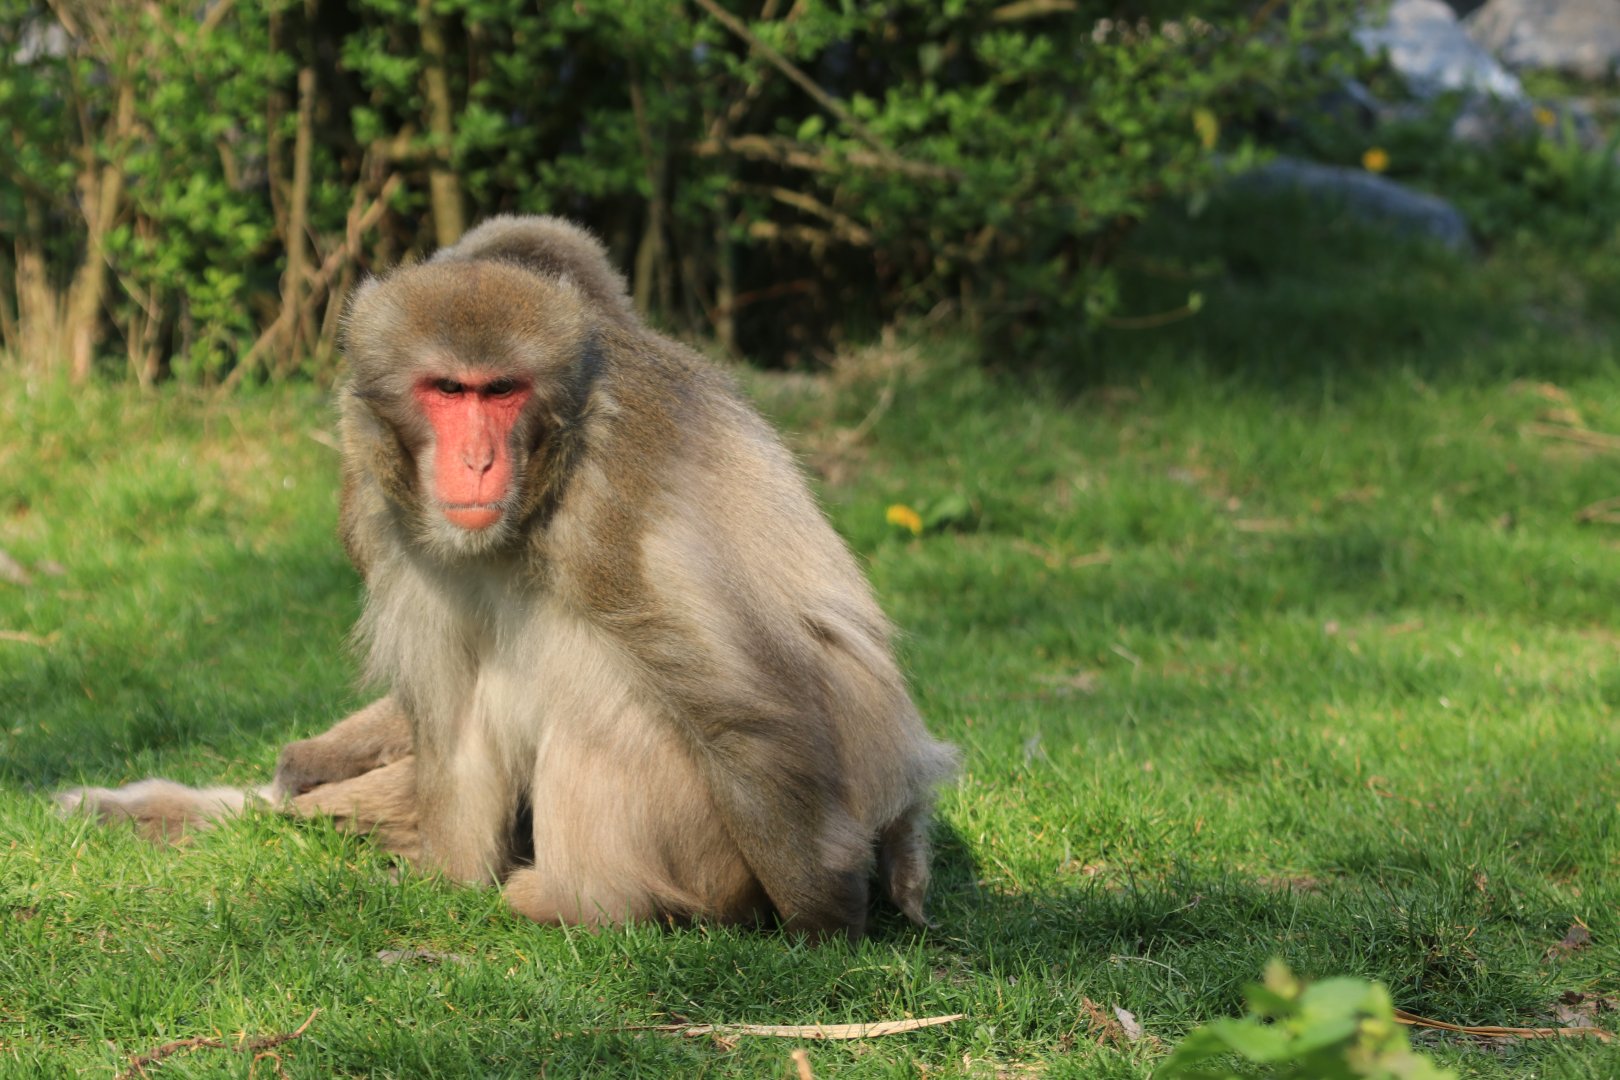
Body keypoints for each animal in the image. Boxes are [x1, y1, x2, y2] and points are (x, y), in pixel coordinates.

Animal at [59, 215, 958, 940]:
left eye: (501, 392)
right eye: (447, 391)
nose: (478, 460)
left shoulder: (610, 489)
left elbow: (748, 706)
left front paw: (824, 918)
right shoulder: (369, 498)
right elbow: (440, 697)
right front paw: (430, 867)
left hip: (710, 855)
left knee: (607, 683)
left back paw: (579, 898)